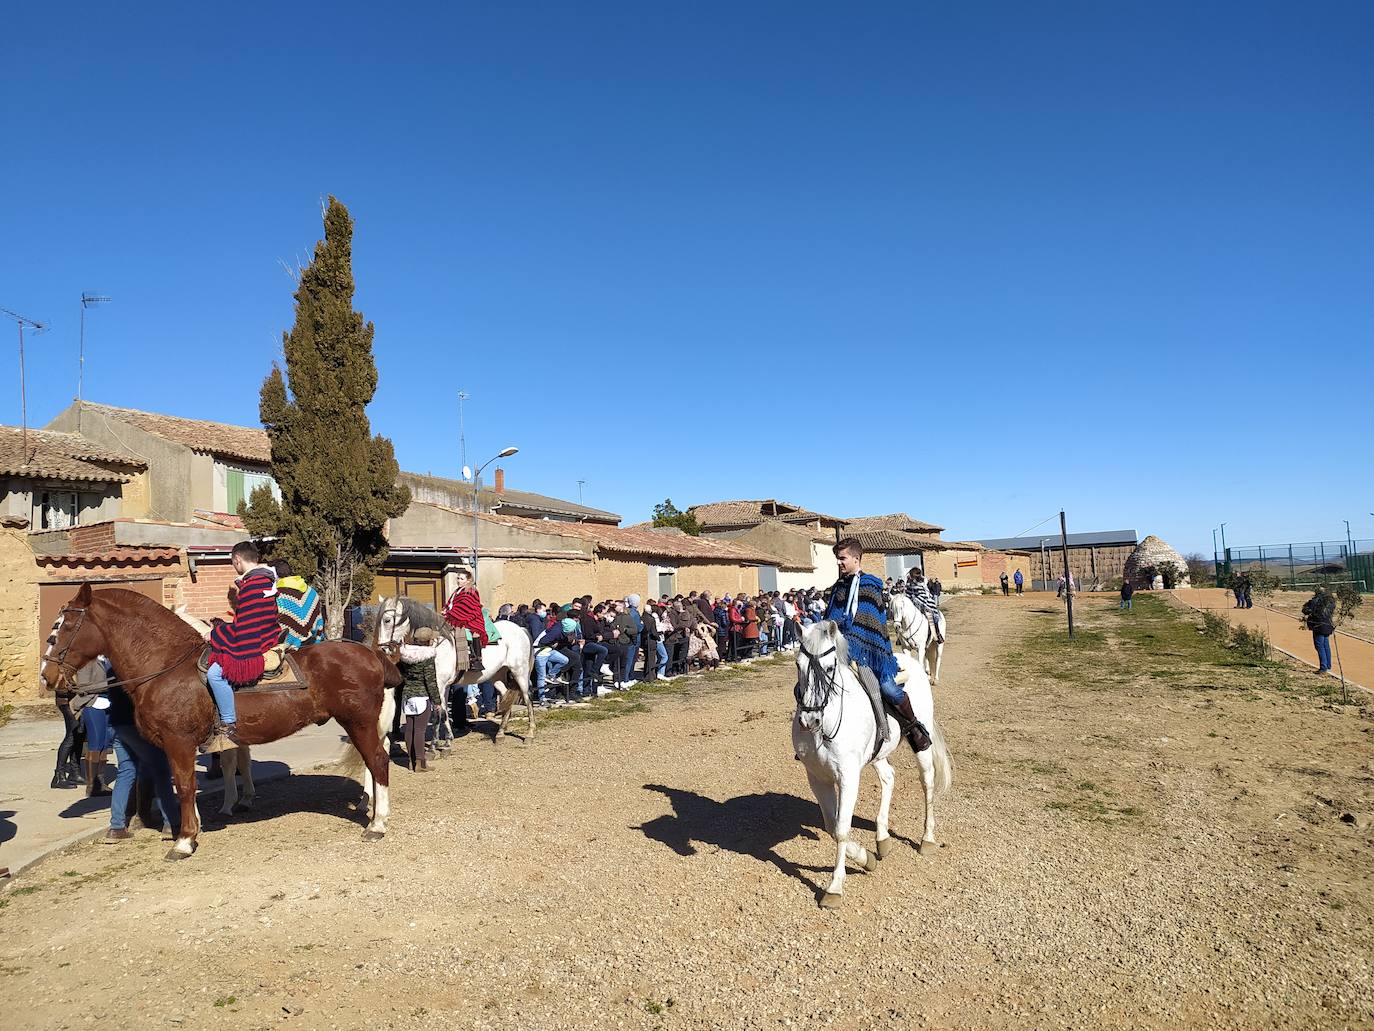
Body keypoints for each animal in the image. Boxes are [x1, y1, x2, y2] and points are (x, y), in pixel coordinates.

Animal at [376, 596, 535, 742]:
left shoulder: (439, 685)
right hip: (497, 675)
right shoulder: (443, 686)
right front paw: (448, 736)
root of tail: (520, 629)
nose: (383, 648)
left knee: (527, 697)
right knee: (506, 696)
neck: (435, 644)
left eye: (387, 620)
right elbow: (444, 710)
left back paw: (529, 733)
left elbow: (439, 710)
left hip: (520, 672)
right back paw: (501, 732)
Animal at [791, 618, 950, 907]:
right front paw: (866, 859)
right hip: (879, 753)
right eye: (799, 665)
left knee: (927, 784)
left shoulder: (848, 777)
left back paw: (927, 839)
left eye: (829, 667)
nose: (809, 720)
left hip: (921, 747)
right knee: (889, 777)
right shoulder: (817, 777)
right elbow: (832, 827)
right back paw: (882, 838)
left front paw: (835, 887)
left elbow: (842, 829)